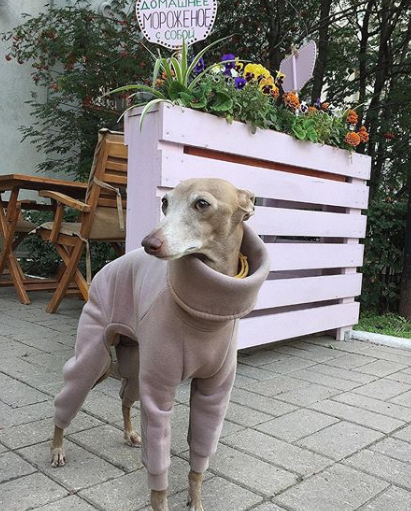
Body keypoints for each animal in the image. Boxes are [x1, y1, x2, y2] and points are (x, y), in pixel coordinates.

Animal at [50, 178, 270, 510]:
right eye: (165, 202)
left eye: (202, 203)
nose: (148, 243)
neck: (206, 311)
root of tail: (104, 270)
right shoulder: (160, 392)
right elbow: (158, 462)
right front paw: (162, 500)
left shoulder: (213, 393)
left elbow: (200, 455)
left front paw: (195, 499)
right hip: (95, 361)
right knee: (67, 400)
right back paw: (57, 448)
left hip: (137, 366)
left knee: (125, 397)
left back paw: (129, 434)